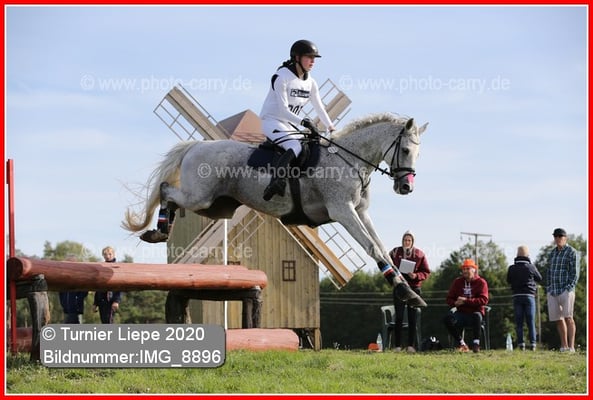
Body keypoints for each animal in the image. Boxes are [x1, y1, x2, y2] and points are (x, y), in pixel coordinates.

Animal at [123, 113, 428, 307]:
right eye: (405, 150)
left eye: (418, 153)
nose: (406, 187)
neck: (346, 159)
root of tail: (196, 145)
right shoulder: (342, 211)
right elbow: (372, 247)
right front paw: (405, 291)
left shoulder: (361, 212)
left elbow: (380, 246)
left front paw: (408, 292)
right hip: (200, 197)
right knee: (165, 189)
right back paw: (158, 231)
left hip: (213, 207)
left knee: (172, 196)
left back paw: (159, 231)